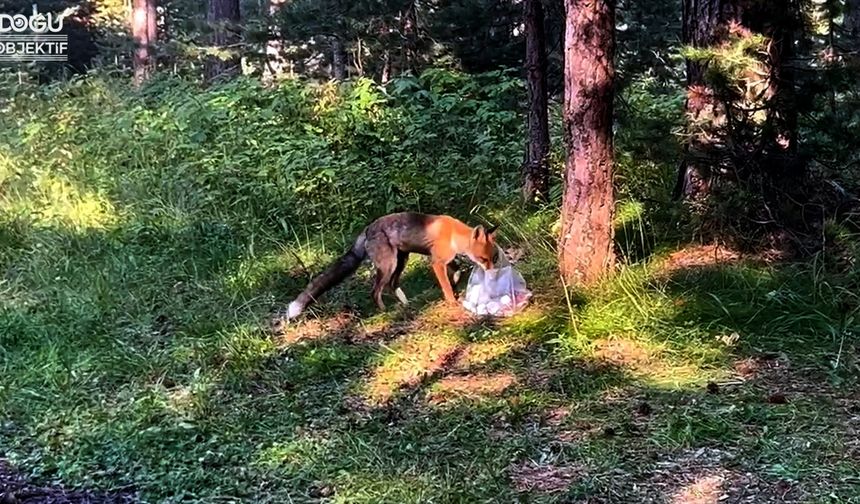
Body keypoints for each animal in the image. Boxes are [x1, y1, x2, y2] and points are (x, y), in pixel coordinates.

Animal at [282, 213, 498, 318]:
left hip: (401, 260)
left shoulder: (443, 258)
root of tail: (367, 229)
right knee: (376, 290)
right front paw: (452, 300)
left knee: (392, 285)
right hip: (389, 265)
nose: (492, 274)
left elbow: (457, 269)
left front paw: (455, 281)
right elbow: (445, 284)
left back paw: (405, 304)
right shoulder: (436, 262)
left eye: (493, 258)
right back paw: (384, 311)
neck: (453, 234)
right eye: (483, 259)